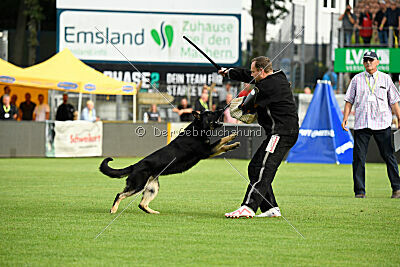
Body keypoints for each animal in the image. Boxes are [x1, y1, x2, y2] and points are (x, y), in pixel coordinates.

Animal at [100, 110, 239, 216]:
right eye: (210, 113)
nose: (221, 109)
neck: (198, 129)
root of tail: (135, 166)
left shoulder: (209, 150)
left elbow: (223, 146)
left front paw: (233, 145)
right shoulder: (207, 151)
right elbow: (222, 141)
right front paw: (232, 137)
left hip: (152, 188)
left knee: (141, 204)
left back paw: (153, 212)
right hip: (138, 186)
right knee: (120, 195)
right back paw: (113, 210)